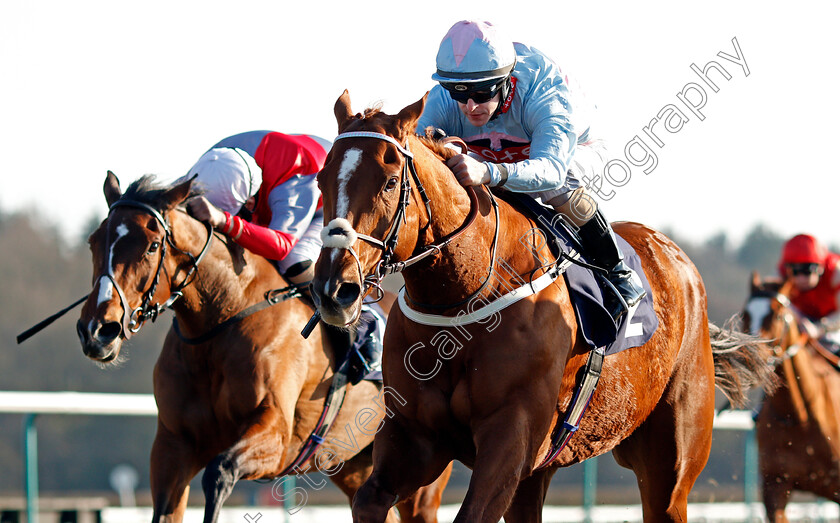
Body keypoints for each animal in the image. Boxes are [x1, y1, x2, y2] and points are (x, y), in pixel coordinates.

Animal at [74, 173, 452, 523]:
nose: (97, 329)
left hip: (419, 475)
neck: (221, 321)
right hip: (356, 464)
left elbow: (219, 472)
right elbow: (166, 510)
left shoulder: (276, 433)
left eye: (152, 246)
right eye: (94, 242)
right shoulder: (173, 446)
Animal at [312, 91, 776, 523]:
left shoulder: (510, 438)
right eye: (321, 180)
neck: (461, 306)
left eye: (390, 182)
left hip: (670, 459)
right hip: (540, 475)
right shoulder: (414, 438)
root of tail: (677, 258)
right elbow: (370, 501)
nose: (335, 289)